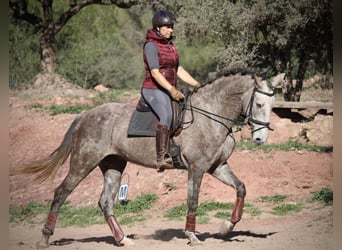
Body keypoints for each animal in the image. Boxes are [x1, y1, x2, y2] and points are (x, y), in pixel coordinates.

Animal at [12, 71, 284, 247]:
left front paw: (227, 226)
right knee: (61, 193)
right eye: (259, 104)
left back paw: (122, 239)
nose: (260, 139)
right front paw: (192, 236)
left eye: (272, 105)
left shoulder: (217, 167)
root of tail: (86, 115)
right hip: (83, 163)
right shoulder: (196, 169)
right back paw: (45, 237)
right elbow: (193, 201)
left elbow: (241, 188)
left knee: (105, 202)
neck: (211, 114)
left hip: (113, 165)